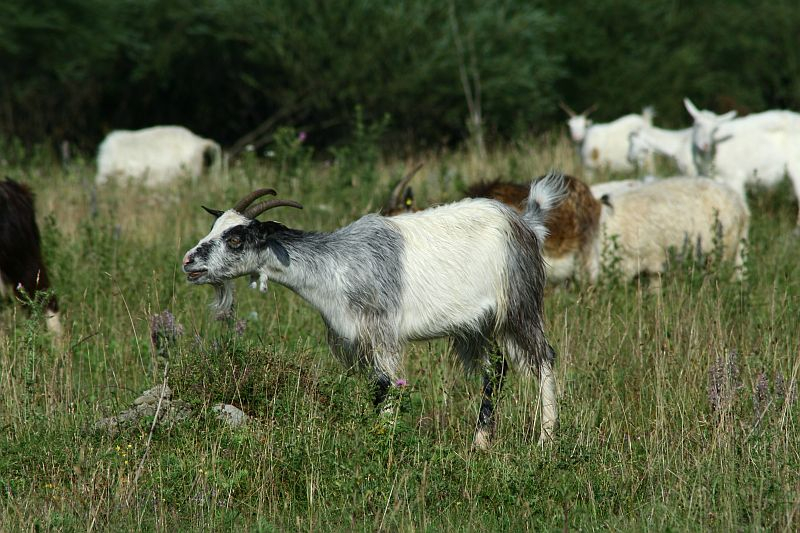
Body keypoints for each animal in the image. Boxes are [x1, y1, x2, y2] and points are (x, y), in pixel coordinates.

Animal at [182, 177, 567, 448]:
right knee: (496, 370)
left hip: (519, 307)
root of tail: (526, 223)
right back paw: (480, 444)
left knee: (544, 357)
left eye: (236, 239)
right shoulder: (358, 340)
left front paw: (383, 443)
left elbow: (387, 386)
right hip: (474, 327)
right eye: (215, 227)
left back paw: (545, 441)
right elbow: (376, 389)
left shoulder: (382, 333)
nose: (188, 262)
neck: (336, 265)